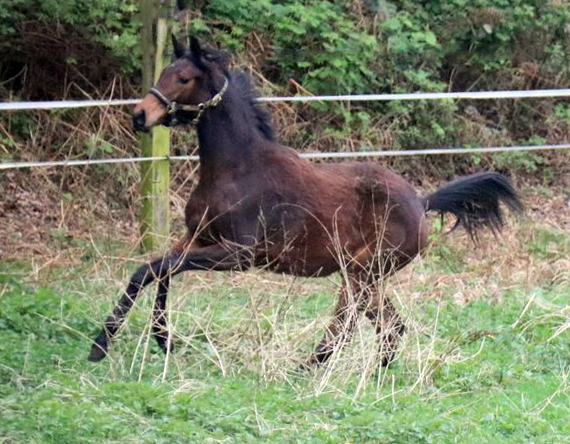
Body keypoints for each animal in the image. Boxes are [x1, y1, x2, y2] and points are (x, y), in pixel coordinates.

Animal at [87, 35, 520, 368]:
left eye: (184, 77)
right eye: (163, 72)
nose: (140, 115)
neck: (235, 167)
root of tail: (421, 201)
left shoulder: (238, 254)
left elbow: (154, 269)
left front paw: (104, 345)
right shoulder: (197, 238)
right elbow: (156, 271)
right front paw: (161, 340)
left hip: (361, 272)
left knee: (351, 320)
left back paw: (312, 365)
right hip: (364, 275)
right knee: (389, 325)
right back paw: (373, 370)